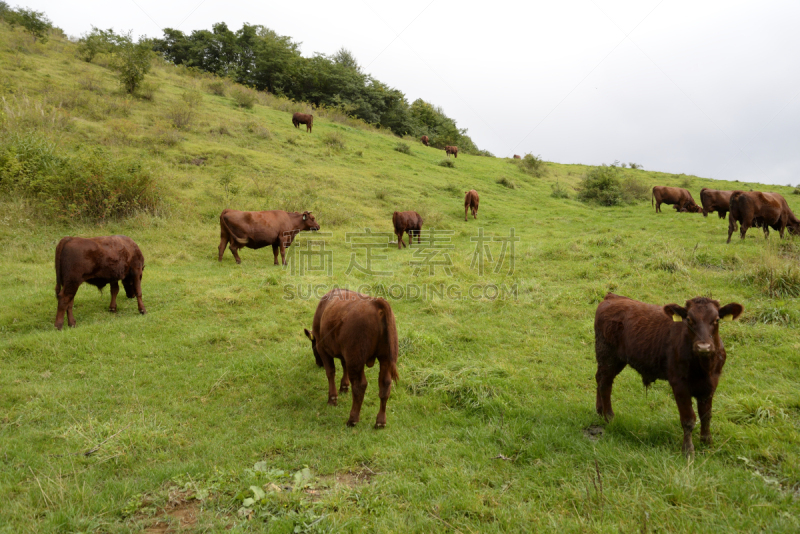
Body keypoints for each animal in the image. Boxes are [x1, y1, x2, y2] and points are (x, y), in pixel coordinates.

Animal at [302, 292, 398, 430]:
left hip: (356, 358)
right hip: (385, 359)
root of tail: (376, 303)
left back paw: (353, 419)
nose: (318, 364)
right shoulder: (346, 354)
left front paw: (333, 398)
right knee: (385, 384)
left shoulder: (323, 348)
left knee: (359, 385)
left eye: (312, 344)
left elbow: (330, 372)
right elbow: (344, 366)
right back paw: (380, 421)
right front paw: (344, 386)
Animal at [592, 294, 744, 456]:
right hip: (608, 355)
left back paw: (599, 411)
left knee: (599, 379)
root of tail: (612, 297)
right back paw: (609, 416)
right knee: (605, 384)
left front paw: (707, 442)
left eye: (716, 319)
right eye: (689, 319)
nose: (704, 346)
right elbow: (688, 419)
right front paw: (688, 450)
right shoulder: (679, 384)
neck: (703, 367)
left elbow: (706, 415)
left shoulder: (711, 384)